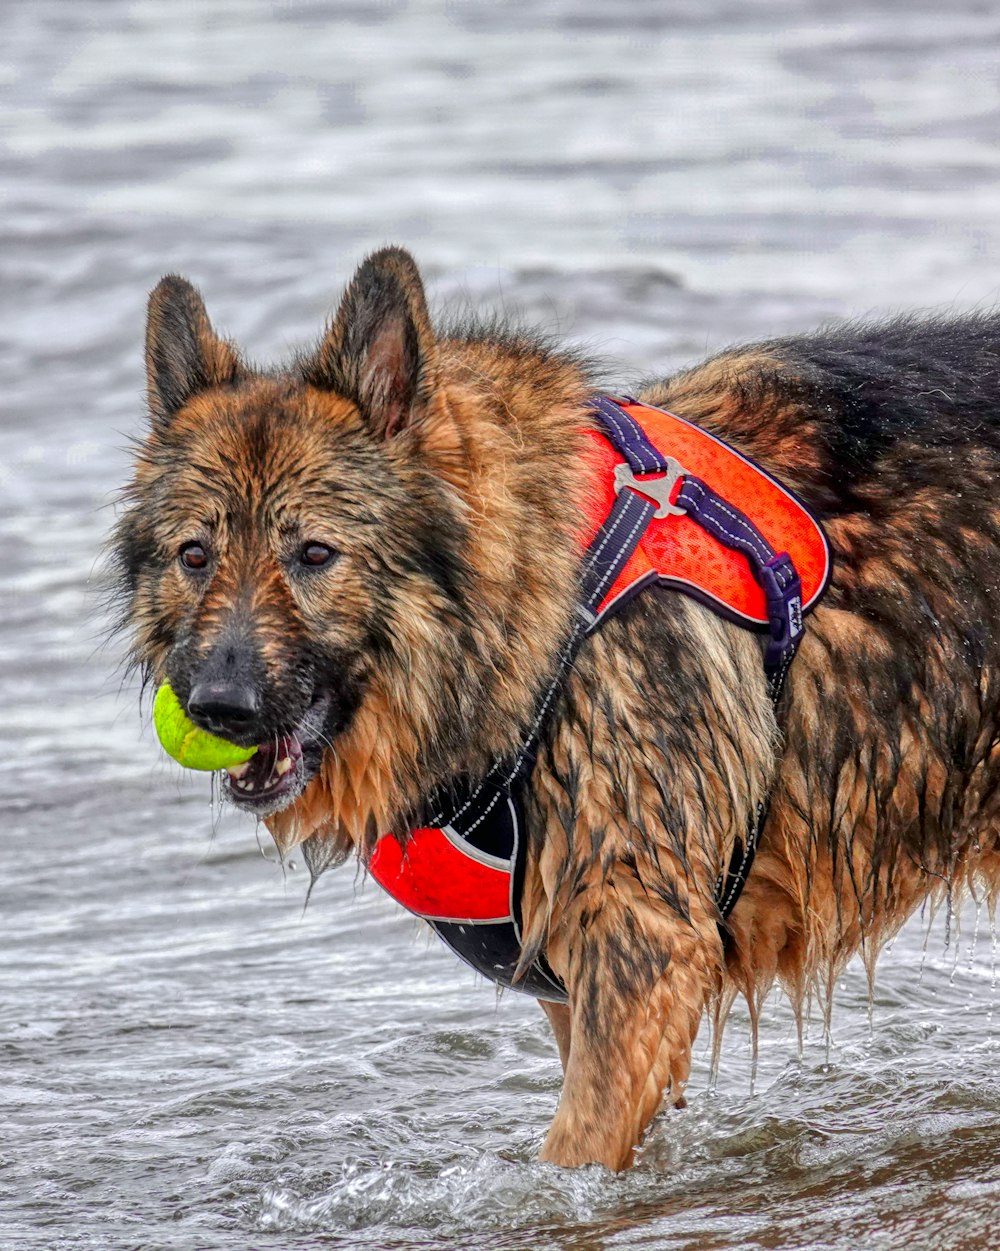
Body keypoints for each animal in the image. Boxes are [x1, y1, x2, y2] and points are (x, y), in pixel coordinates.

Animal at [113, 246, 1000, 1170]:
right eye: (194, 555)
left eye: (315, 554)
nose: (219, 707)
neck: (546, 606)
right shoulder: (579, 989)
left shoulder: (643, 951)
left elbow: (573, 1151)